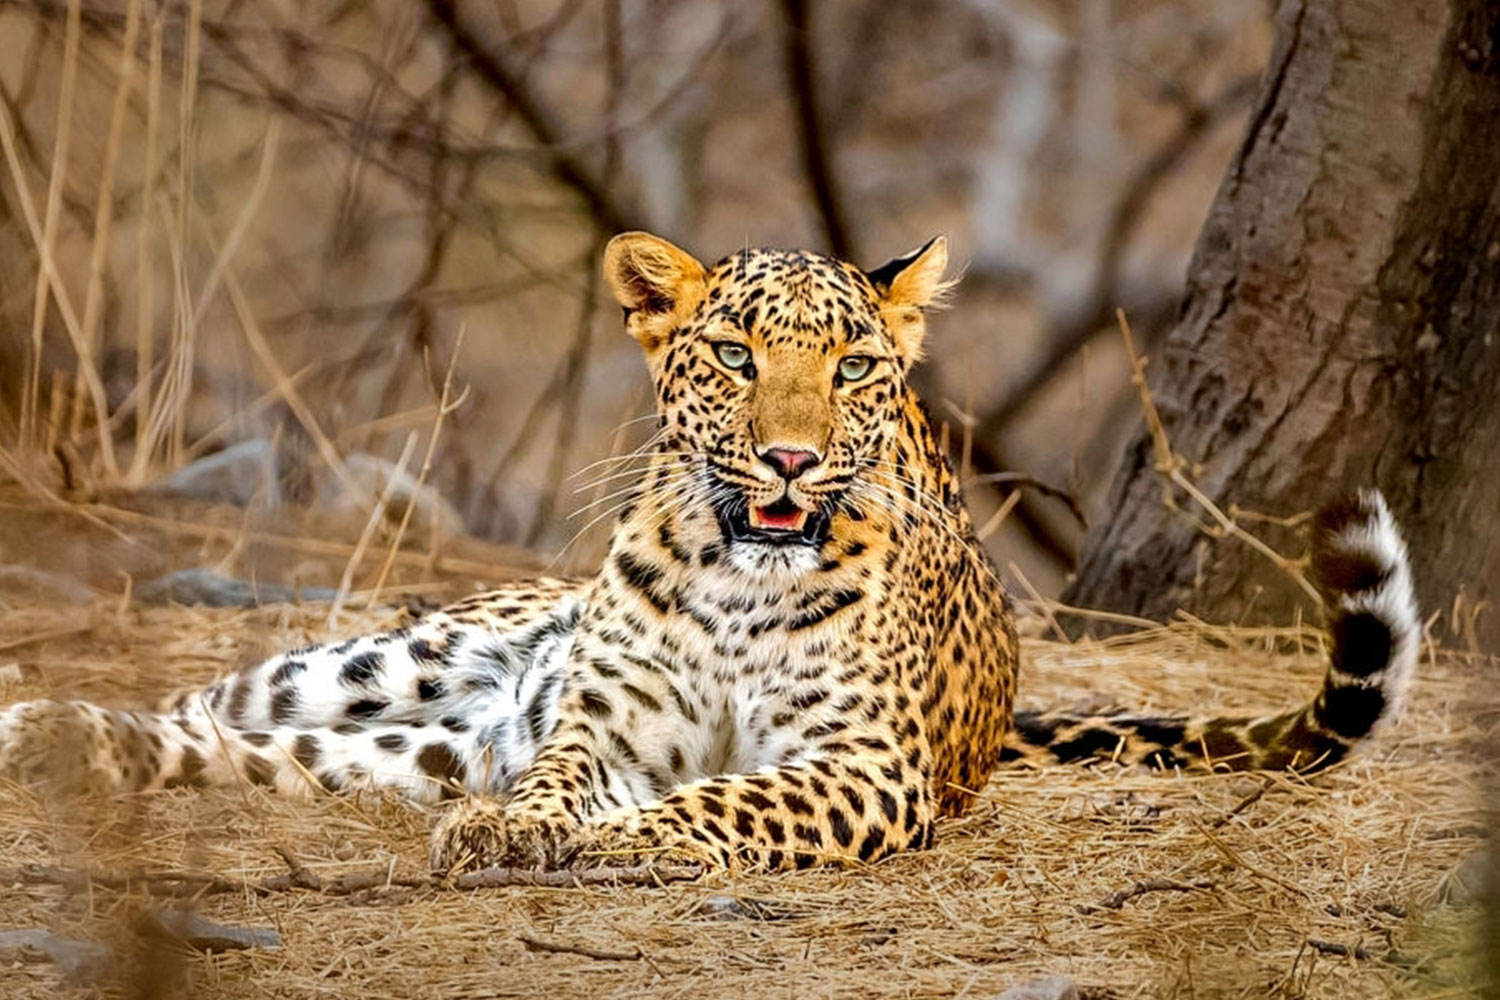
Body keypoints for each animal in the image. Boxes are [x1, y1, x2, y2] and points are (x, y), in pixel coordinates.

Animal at [0, 232, 1421, 874]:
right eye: (735, 355)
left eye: (852, 368)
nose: (789, 461)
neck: (747, 584)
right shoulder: (599, 728)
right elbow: (560, 780)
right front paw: (525, 830)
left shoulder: (862, 766)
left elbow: (731, 797)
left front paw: (629, 839)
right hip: (380, 665)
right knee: (215, 702)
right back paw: (48, 720)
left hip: (401, 749)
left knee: (248, 752)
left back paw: (61, 743)